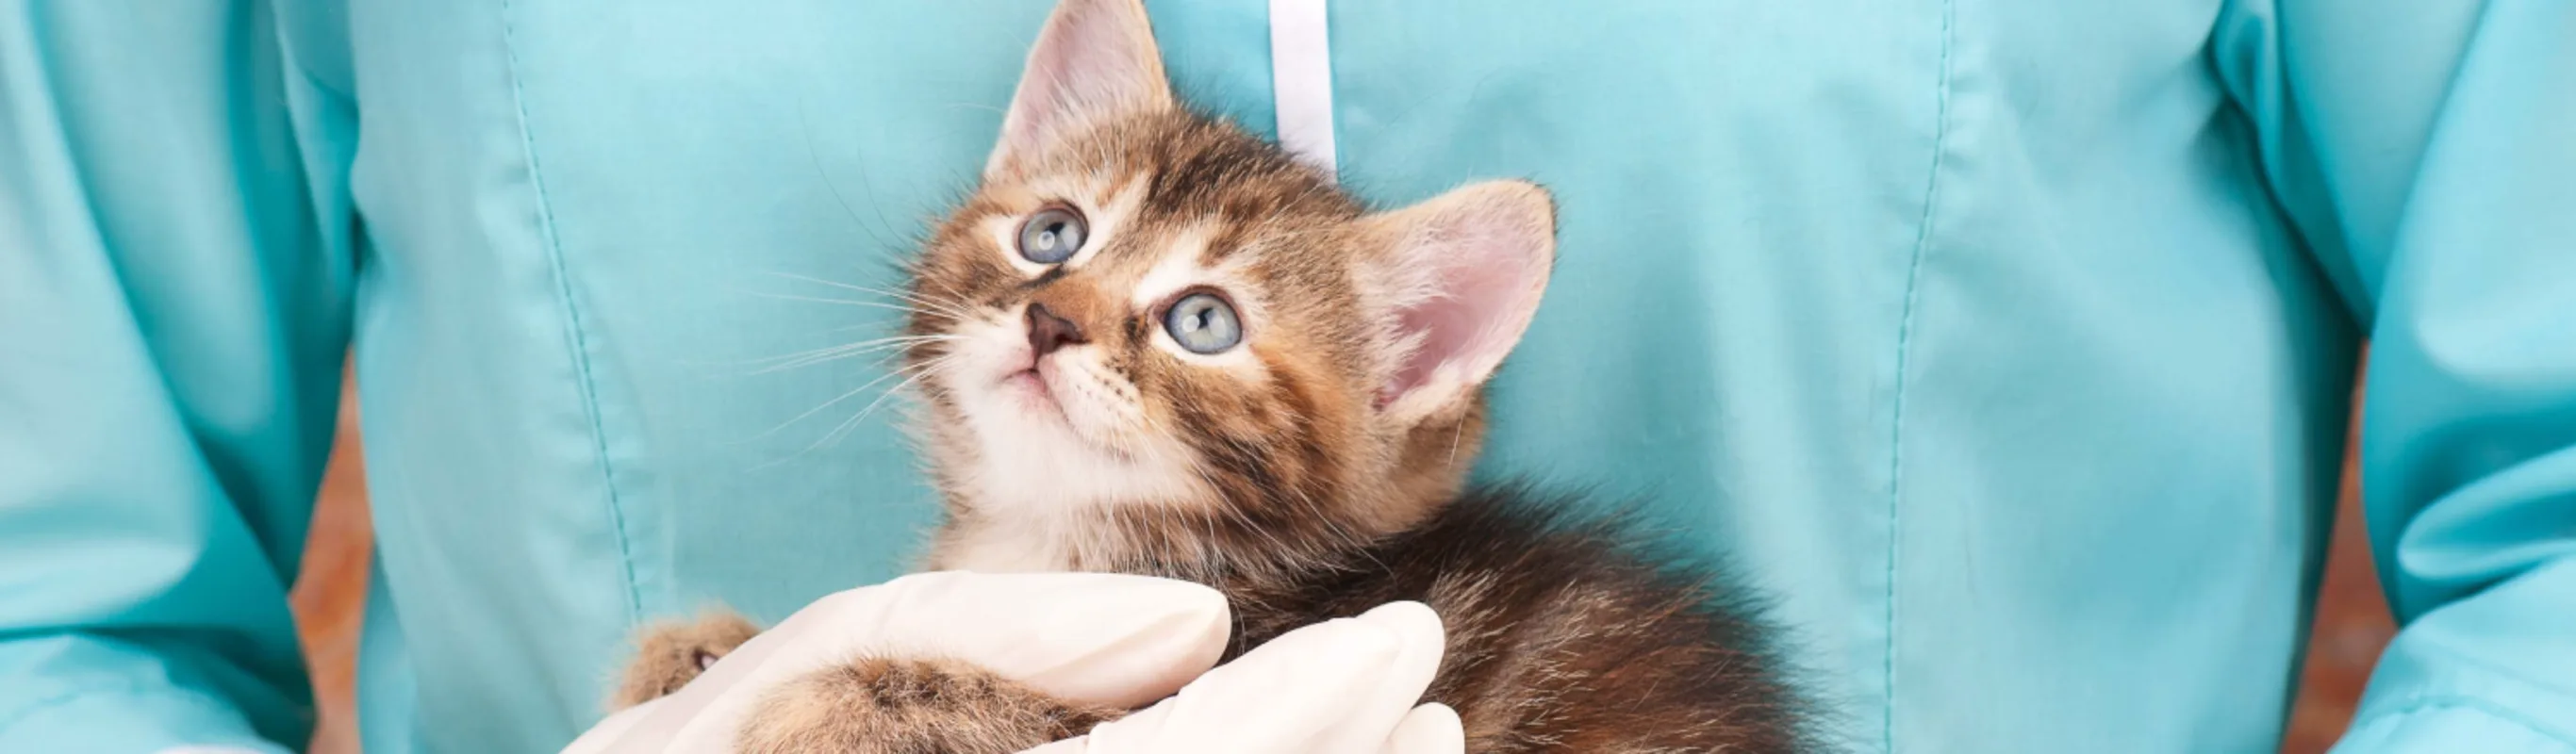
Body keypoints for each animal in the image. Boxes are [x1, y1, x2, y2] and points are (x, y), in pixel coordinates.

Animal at [610, 1, 1803, 746]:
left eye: (1201, 321)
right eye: (1051, 233)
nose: (1049, 318)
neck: (1049, 551)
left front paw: (829, 699)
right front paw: (698, 655)